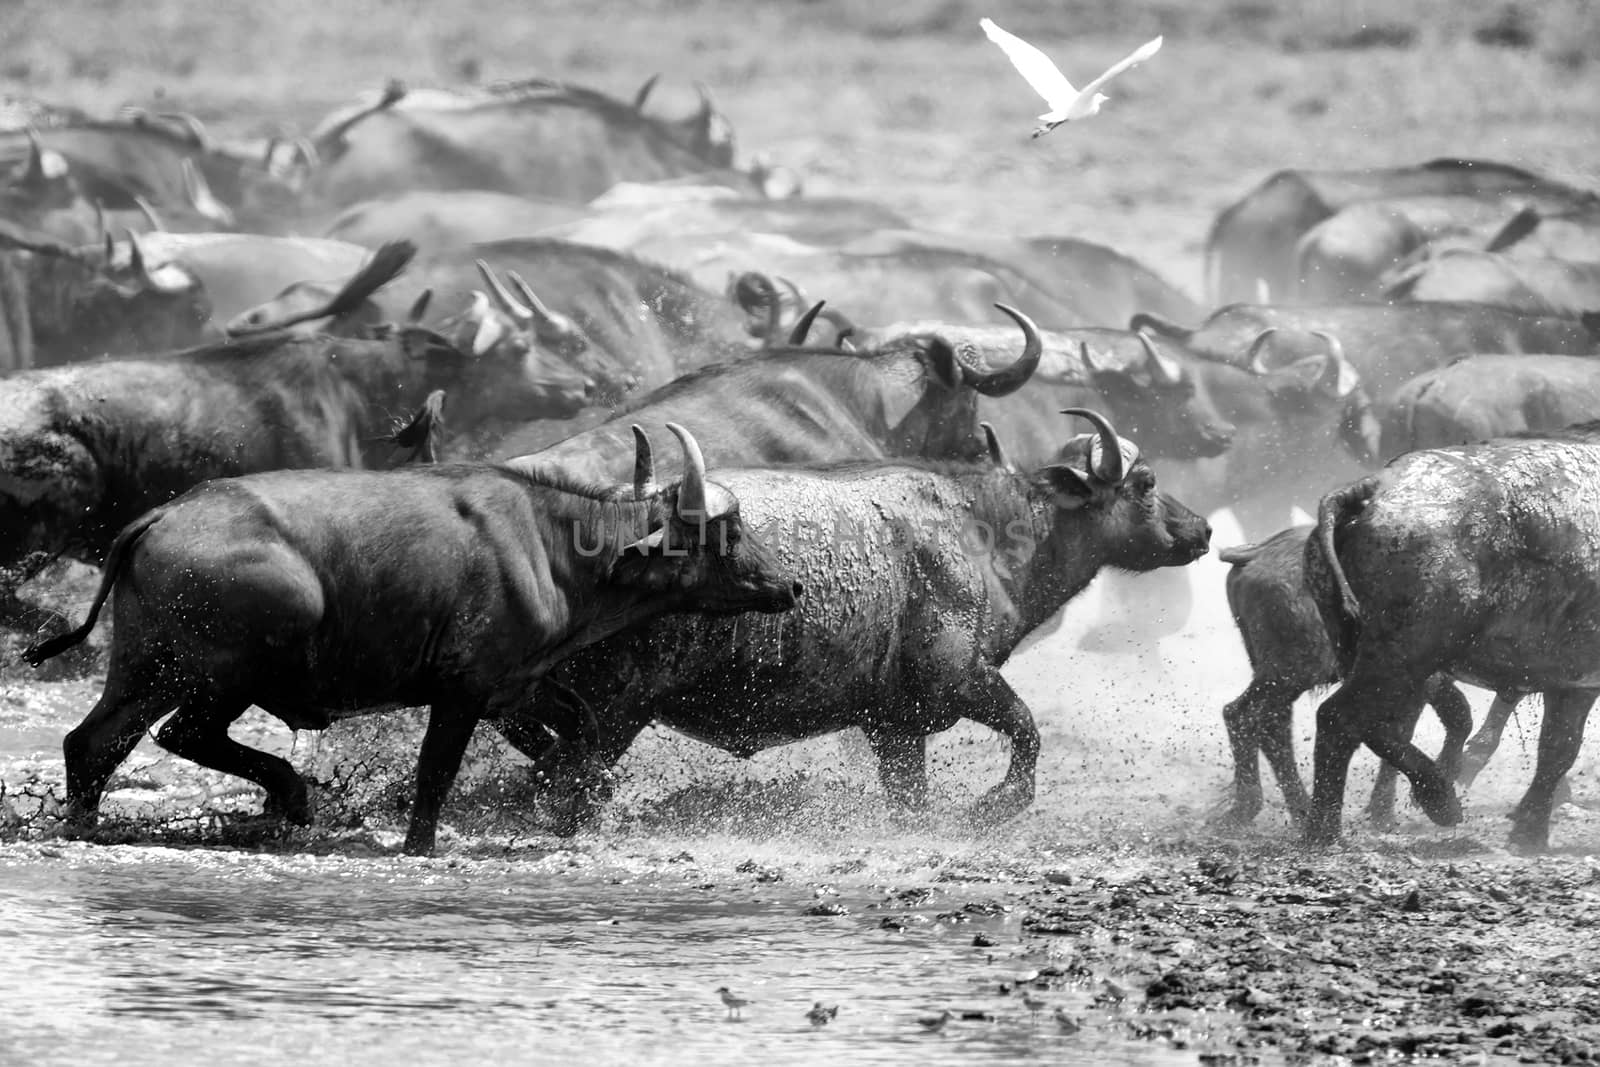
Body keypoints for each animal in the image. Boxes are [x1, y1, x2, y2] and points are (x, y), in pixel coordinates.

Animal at [25, 422, 800, 851]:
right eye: (728, 531)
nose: (791, 586)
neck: (552, 545)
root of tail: (163, 516)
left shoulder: (516, 688)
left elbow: (579, 733)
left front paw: (569, 798)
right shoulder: (463, 691)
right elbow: (436, 774)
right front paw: (420, 845)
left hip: (140, 669)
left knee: (93, 742)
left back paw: (87, 825)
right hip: (226, 672)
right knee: (181, 734)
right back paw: (290, 799)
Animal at [1305, 425, 1600, 851]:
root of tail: (1379, 484)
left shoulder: (1573, 681)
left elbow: (1557, 751)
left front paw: (1528, 832)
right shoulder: (1578, 680)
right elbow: (1560, 753)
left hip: (1366, 651)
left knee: (1378, 725)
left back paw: (1437, 795)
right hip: (1404, 655)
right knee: (1339, 719)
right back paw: (1324, 831)